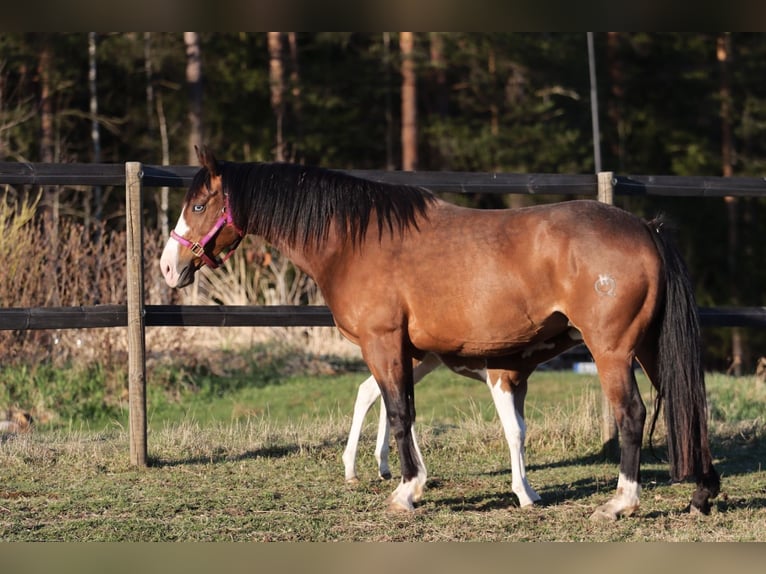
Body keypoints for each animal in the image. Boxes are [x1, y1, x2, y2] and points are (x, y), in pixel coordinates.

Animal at [160, 146, 720, 520]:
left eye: (198, 206)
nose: (168, 267)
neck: (354, 240)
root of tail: (645, 228)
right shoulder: (411, 351)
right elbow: (399, 409)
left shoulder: (384, 342)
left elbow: (399, 412)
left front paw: (406, 491)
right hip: (648, 347)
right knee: (689, 407)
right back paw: (702, 492)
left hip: (612, 350)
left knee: (632, 414)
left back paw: (621, 502)